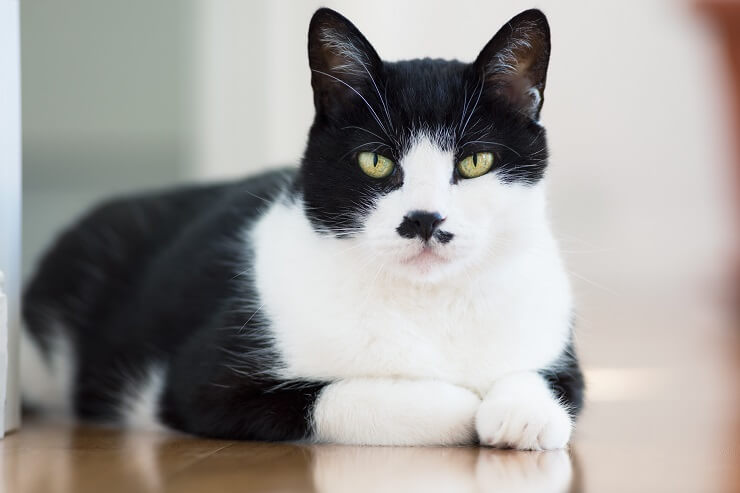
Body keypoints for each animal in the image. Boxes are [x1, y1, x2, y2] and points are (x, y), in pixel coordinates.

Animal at [20, 6, 584, 450]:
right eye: (376, 161)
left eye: (475, 161)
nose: (424, 219)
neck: (426, 303)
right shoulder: (199, 385)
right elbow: (341, 394)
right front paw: (465, 402)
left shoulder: (560, 351)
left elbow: (555, 383)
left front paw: (523, 412)